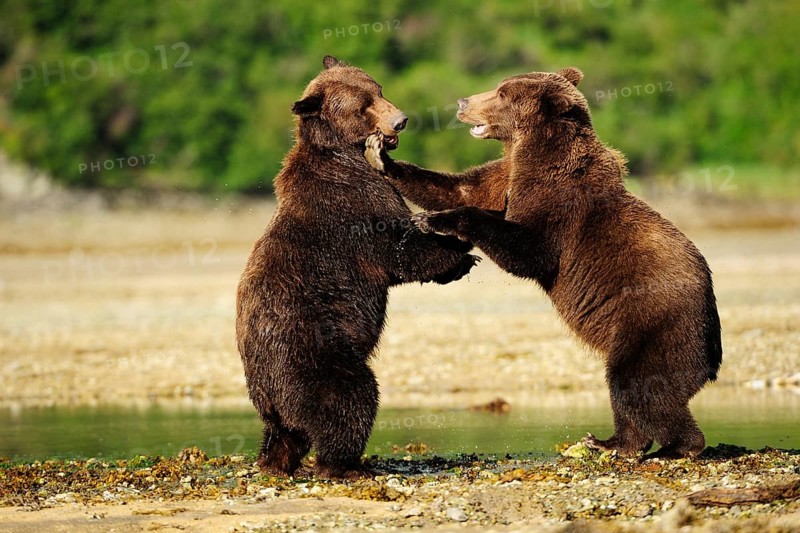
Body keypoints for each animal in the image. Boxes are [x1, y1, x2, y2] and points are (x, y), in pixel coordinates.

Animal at [236, 56, 479, 479]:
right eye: (363, 105)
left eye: (379, 90)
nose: (400, 121)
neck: (344, 153)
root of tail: (265, 390)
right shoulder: (352, 206)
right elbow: (399, 251)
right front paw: (460, 252)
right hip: (314, 357)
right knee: (350, 399)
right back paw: (346, 465)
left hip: (278, 393)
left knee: (284, 433)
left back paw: (273, 461)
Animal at [365, 68, 722, 459]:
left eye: (502, 93)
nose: (462, 102)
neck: (533, 150)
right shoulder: (507, 173)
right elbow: (459, 188)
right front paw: (382, 157)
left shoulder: (559, 204)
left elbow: (529, 250)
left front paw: (432, 219)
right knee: (630, 389)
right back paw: (609, 441)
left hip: (655, 320)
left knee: (640, 382)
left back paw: (673, 446)